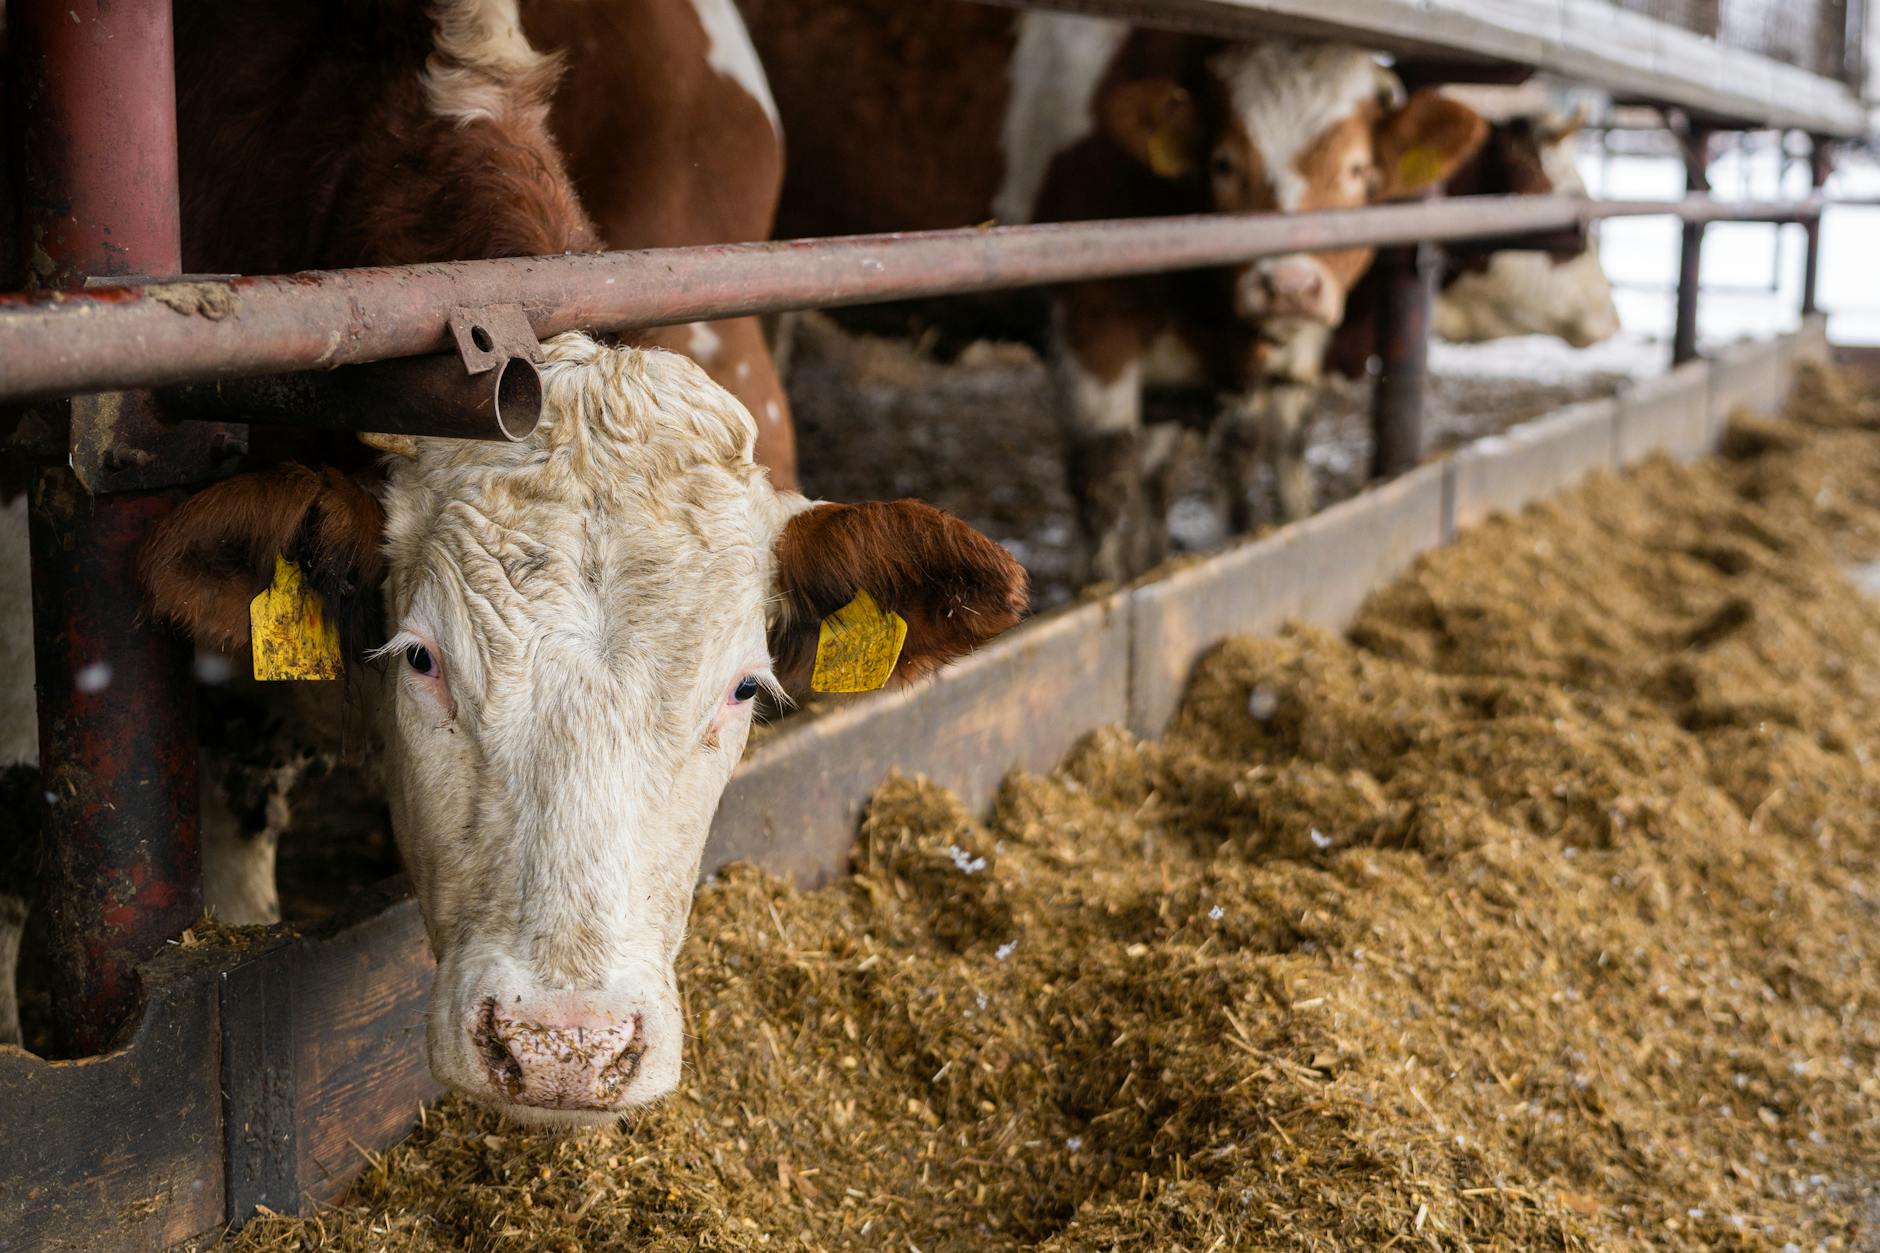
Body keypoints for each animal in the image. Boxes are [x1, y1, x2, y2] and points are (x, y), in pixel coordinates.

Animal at [745, 3, 1488, 579]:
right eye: (1224, 164)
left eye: (1359, 171)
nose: (1288, 287)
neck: (1202, 319)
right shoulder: (1091, 319)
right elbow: (1105, 479)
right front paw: (1098, 589)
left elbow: (1163, 478)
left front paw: (1150, 563)